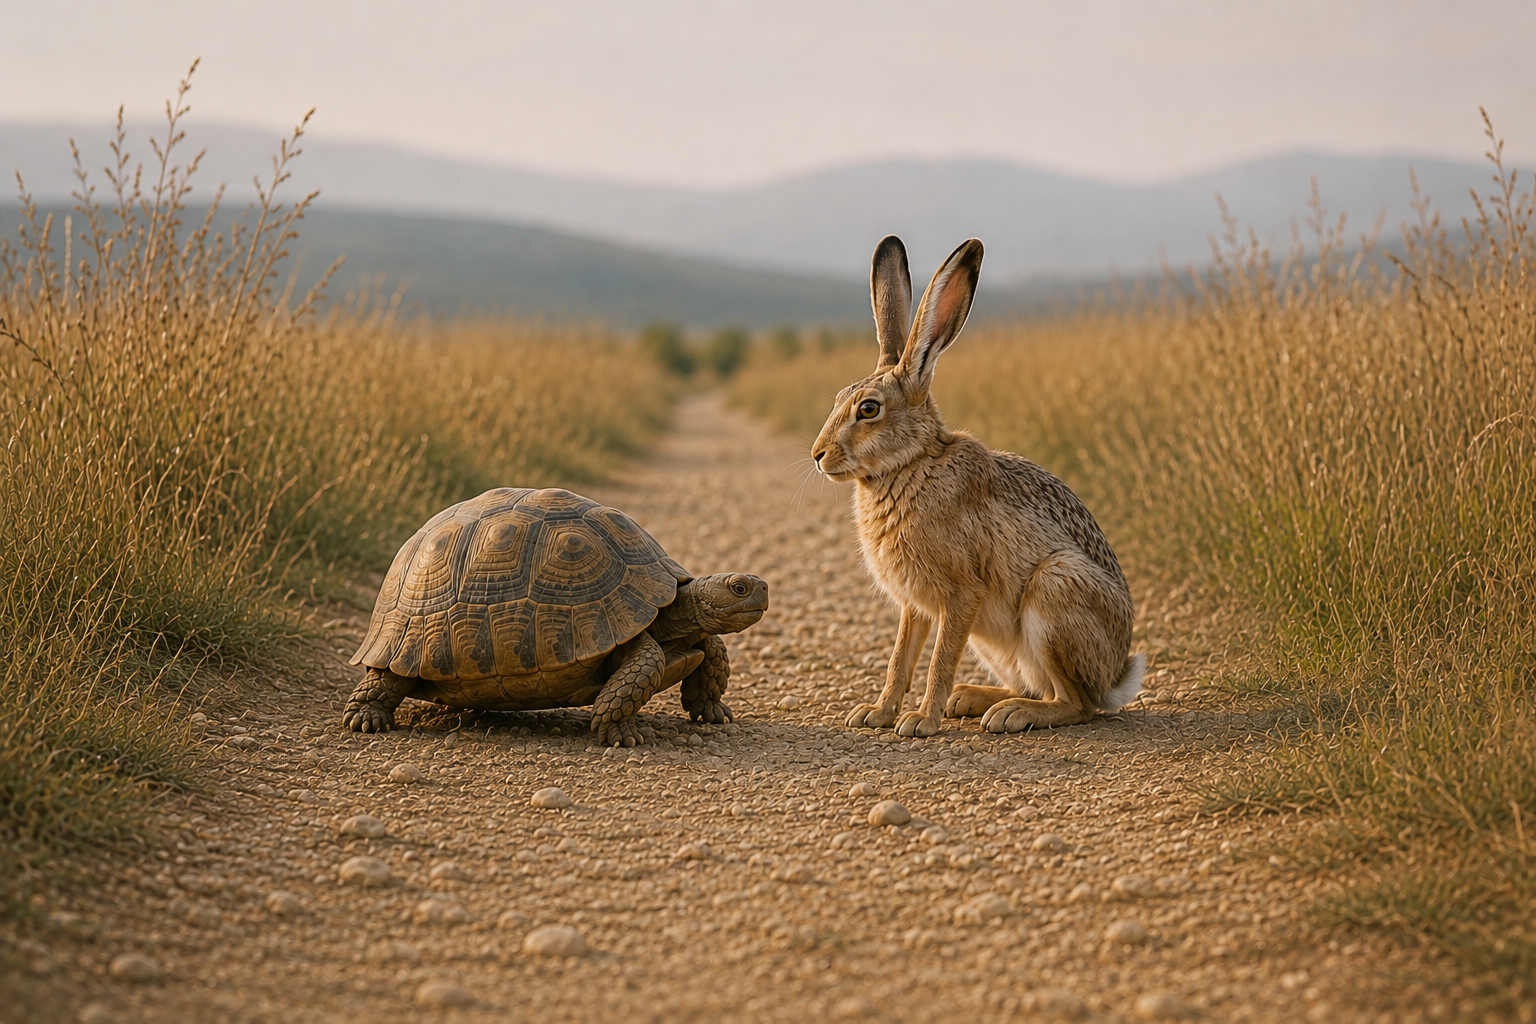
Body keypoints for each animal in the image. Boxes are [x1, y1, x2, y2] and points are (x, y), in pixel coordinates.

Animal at [812, 235, 1143, 738]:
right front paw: (877, 714)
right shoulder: (916, 605)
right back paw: (973, 700)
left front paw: (919, 722)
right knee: (1039, 687)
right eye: (836, 400)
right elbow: (899, 660)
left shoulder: (961, 593)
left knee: (1076, 703)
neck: (910, 464)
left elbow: (939, 660)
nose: (818, 454)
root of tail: (1116, 676)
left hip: (1053, 592)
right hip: (997, 643)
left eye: (868, 409)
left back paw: (1010, 714)